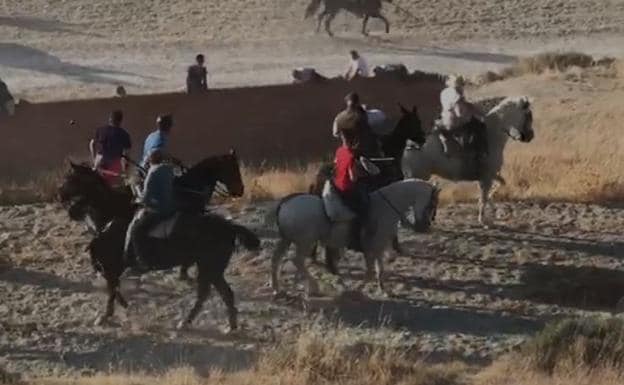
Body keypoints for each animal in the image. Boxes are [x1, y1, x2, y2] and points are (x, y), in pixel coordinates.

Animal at [56, 150, 256, 330]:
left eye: (69, 178)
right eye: (232, 168)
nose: (240, 190)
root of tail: (229, 228)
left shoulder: (112, 265)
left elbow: (112, 287)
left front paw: (107, 315)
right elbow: (113, 286)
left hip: (210, 268)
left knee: (212, 294)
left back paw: (191, 322)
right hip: (211, 269)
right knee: (220, 294)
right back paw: (224, 324)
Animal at [268, 178, 438, 294]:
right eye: (432, 203)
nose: (423, 226)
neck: (385, 207)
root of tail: (286, 203)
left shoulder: (378, 248)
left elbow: (378, 270)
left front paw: (383, 289)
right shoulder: (373, 248)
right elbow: (371, 272)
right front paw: (360, 289)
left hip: (287, 240)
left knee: (276, 260)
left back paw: (277, 288)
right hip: (305, 242)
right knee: (297, 261)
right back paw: (314, 287)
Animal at [402, 95, 532, 225]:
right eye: (528, 115)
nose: (530, 136)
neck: (492, 135)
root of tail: (408, 145)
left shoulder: (490, 176)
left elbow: (498, 187)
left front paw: (495, 211)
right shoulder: (486, 177)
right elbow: (484, 198)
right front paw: (482, 219)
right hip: (418, 177)